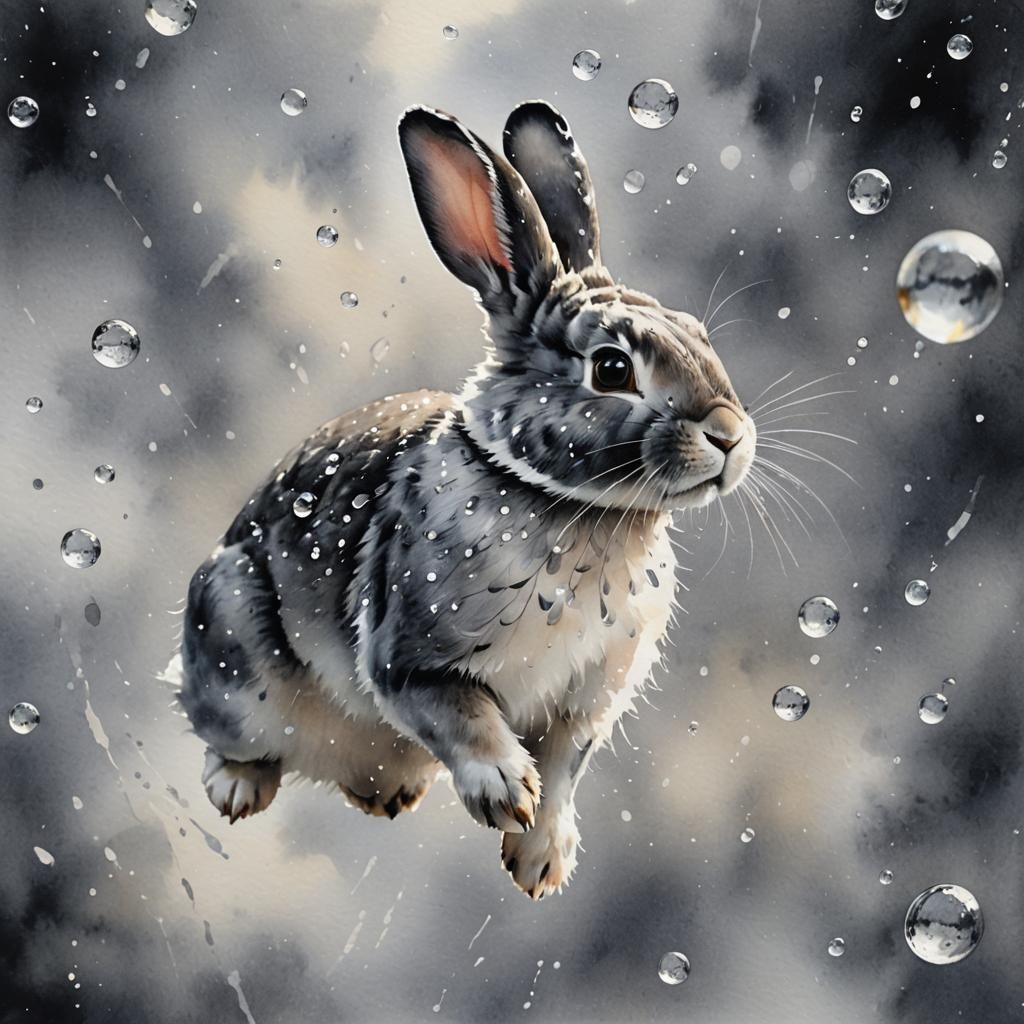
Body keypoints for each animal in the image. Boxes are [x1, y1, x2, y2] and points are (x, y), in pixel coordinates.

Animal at [174, 99, 756, 899]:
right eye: (611, 369)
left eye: (698, 334)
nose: (730, 434)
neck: (568, 504)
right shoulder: (408, 657)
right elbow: (462, 715)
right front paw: (507, 792)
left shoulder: (583, 704)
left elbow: (565, 772)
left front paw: (542, 862)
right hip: (232, 639)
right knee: (220, 726)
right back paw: (237, 787)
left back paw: (388, 793)